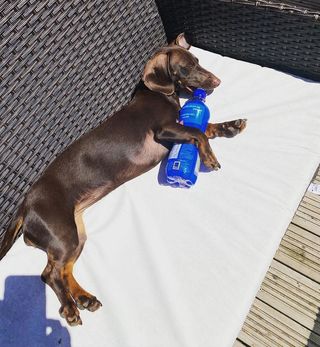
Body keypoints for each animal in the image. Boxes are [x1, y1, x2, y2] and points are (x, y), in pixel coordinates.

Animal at [0, 34, 246, 324]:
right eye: (185, 68)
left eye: (197, 60)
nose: (217, 81)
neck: (159, 94)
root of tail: (25, 203)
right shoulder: (164, 130)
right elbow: (199, 134)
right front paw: (208, 158)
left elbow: (206, 128)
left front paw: (231, 126)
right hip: (63, 233)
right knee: (49, 273)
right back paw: (70, 307)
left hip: (75, 235)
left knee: (61, 269)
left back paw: (83, 297)